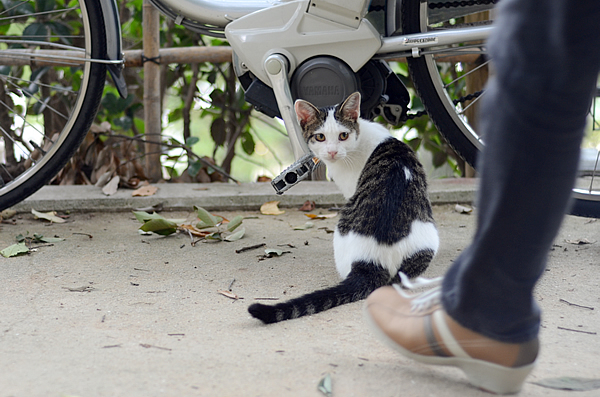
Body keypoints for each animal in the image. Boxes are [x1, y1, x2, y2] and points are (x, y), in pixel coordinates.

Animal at [246, 92, 438, 322]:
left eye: (343, 135)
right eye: (320, 137)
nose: (332, 152)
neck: (360, 137)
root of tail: (373, 260)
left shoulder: (350, 188)